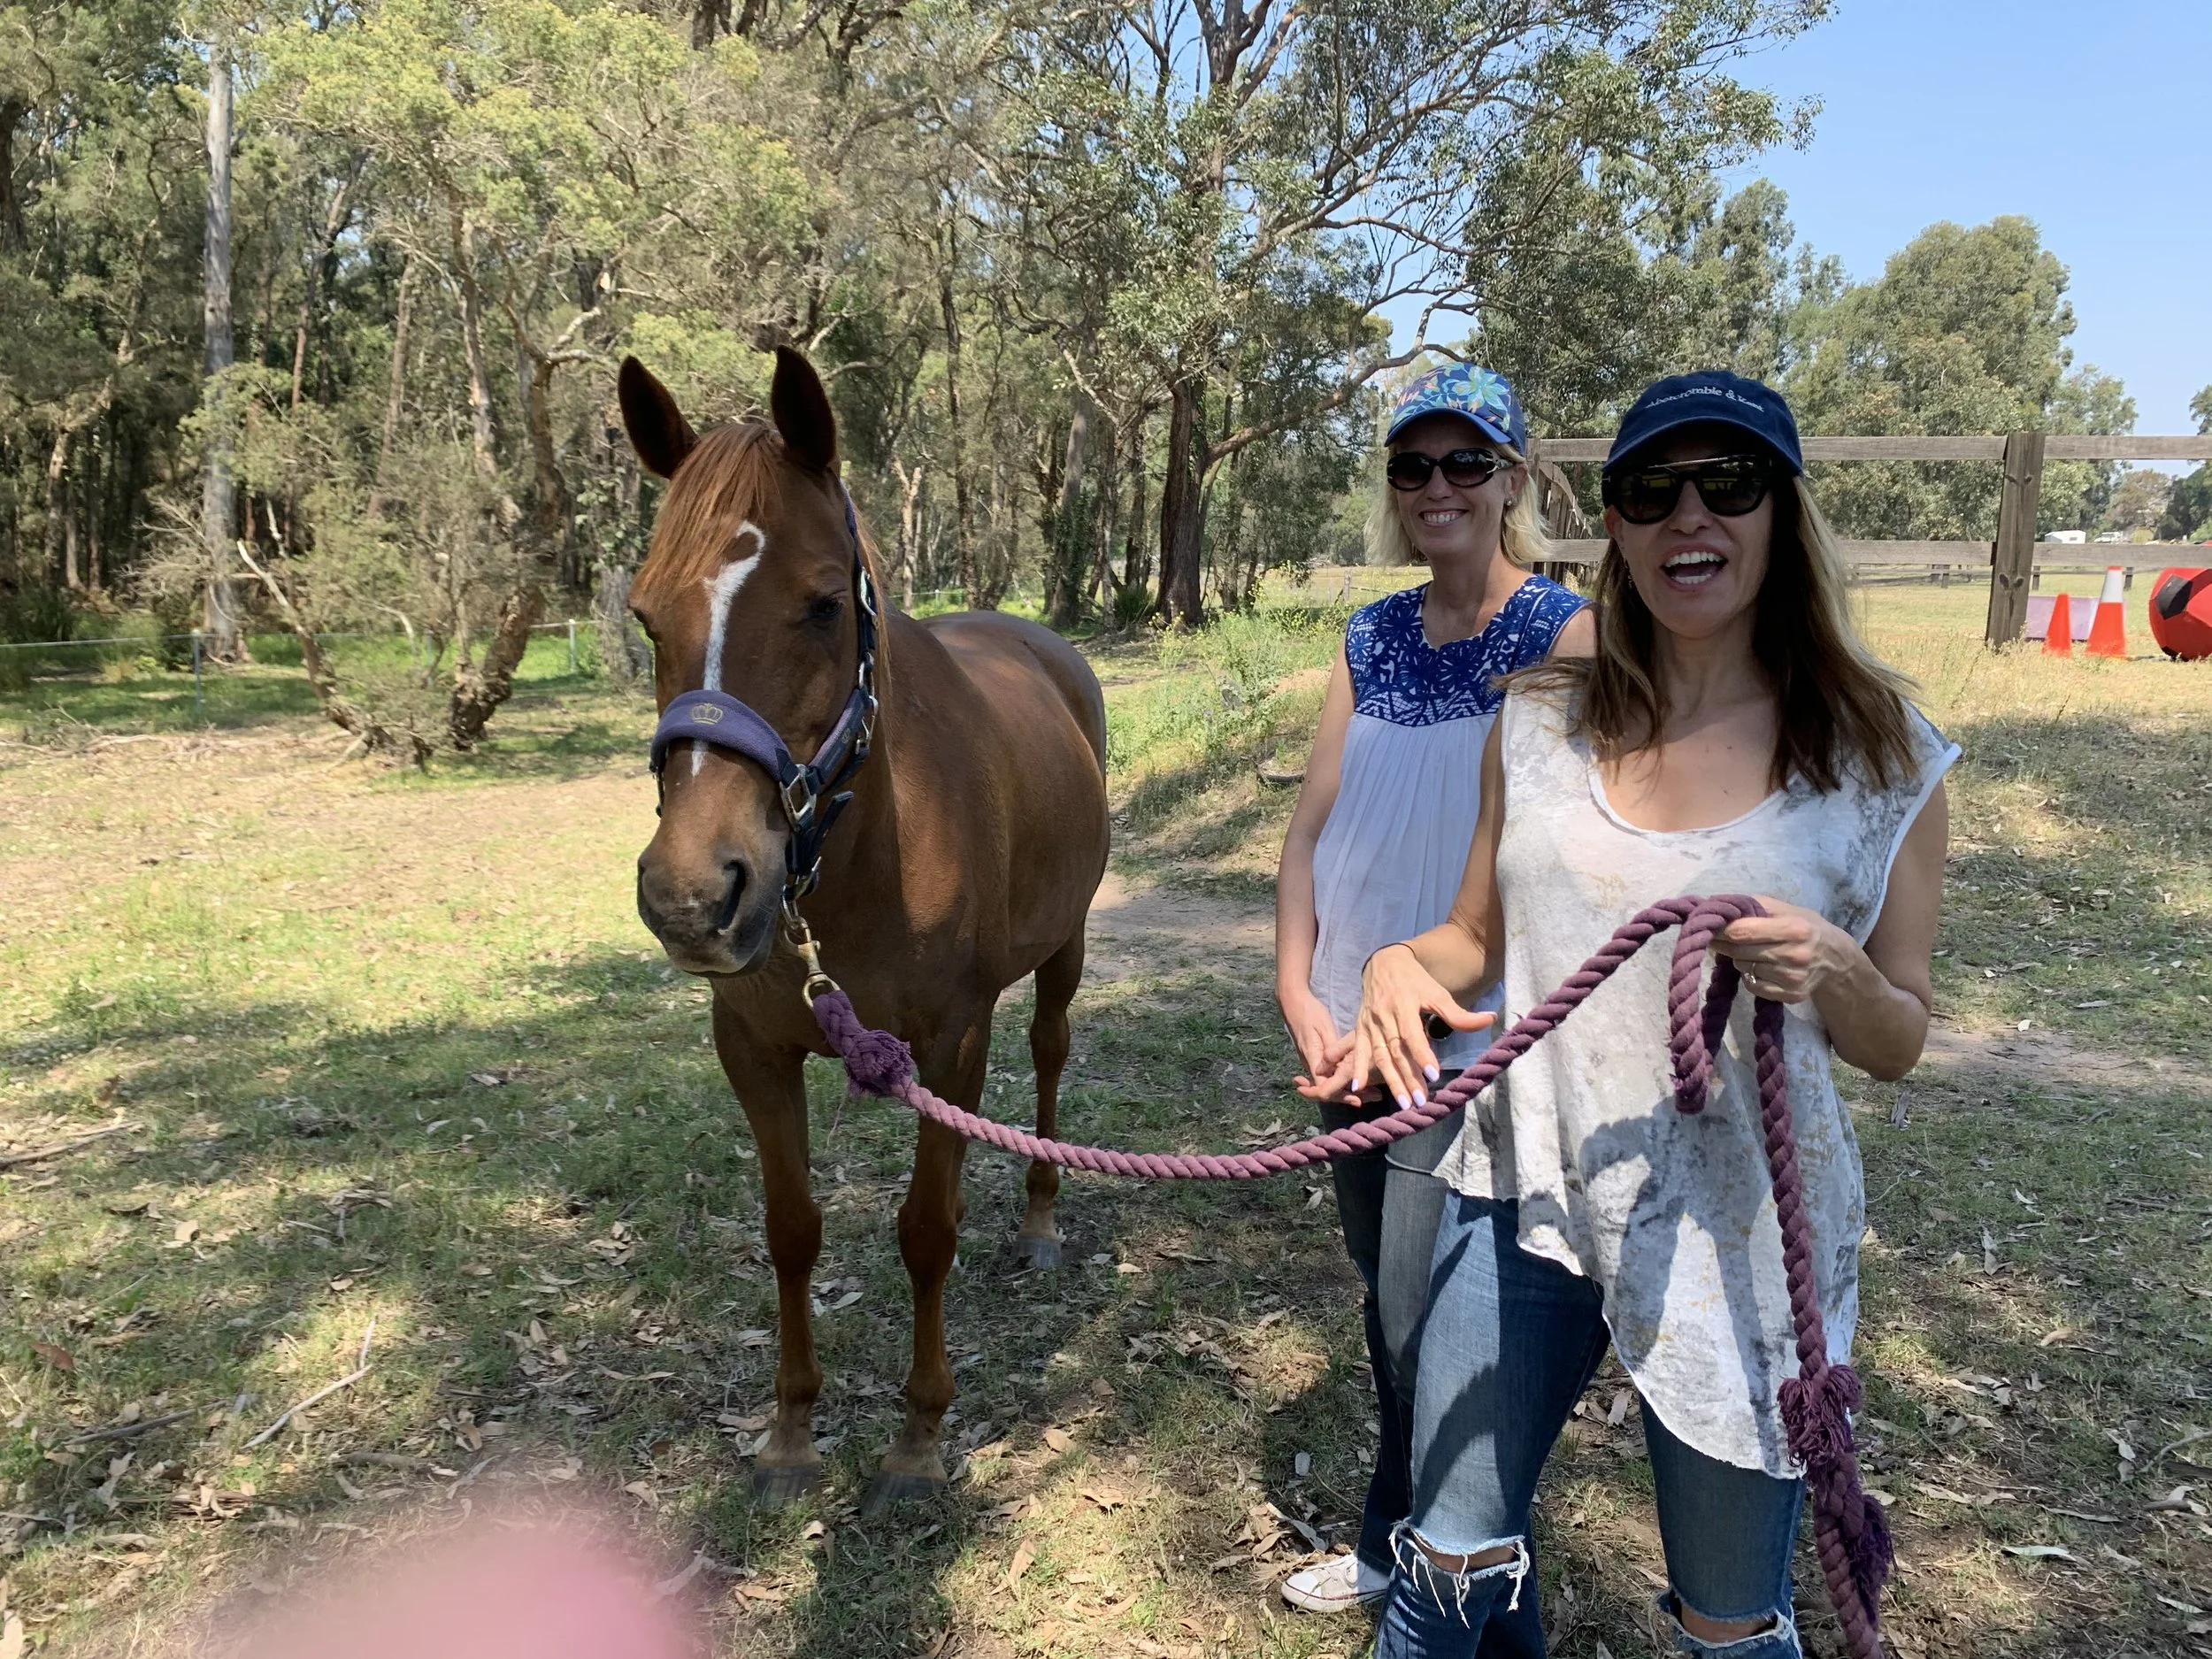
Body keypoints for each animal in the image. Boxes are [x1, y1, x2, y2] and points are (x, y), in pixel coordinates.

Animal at [617, 347, 1110, 1514]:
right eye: (646, 617)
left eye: (823, 605)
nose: (692, 897)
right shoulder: (752, 1048)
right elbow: (791, 1230)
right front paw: (792, 1432)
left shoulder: (952, 1040)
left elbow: (926, 1232)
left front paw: (918, 1440)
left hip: (1061, 954)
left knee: (1050, 1056)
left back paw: (1039, 1220)